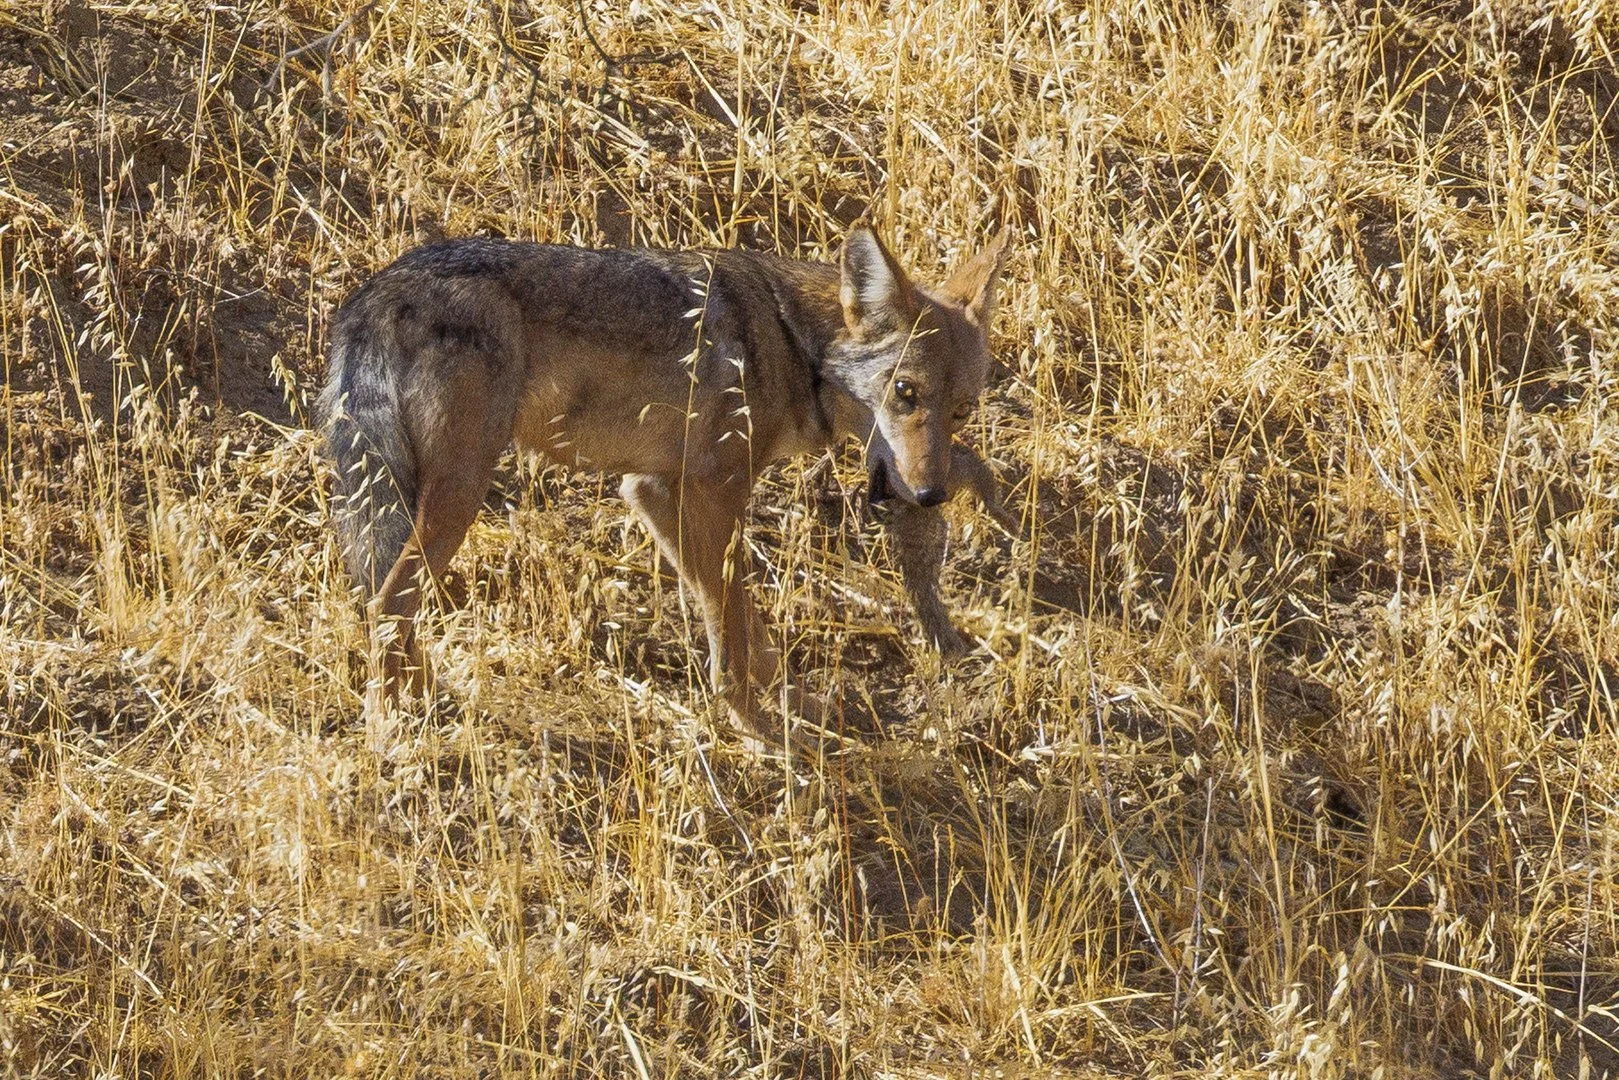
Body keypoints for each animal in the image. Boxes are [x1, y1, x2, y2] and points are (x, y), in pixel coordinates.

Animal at [319, 224, 1012, 734]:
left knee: (388, 608)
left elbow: (744, 624)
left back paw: (432, 704)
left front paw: (793, 705)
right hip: (458, 495)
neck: (791, 340)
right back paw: (390, 732)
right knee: (385, 605)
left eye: (960, 411)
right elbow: (729, 626)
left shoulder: (652, 492)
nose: (930, 494)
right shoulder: (717, 493)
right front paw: (757, 730)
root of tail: (376, 293)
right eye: (905, 392)